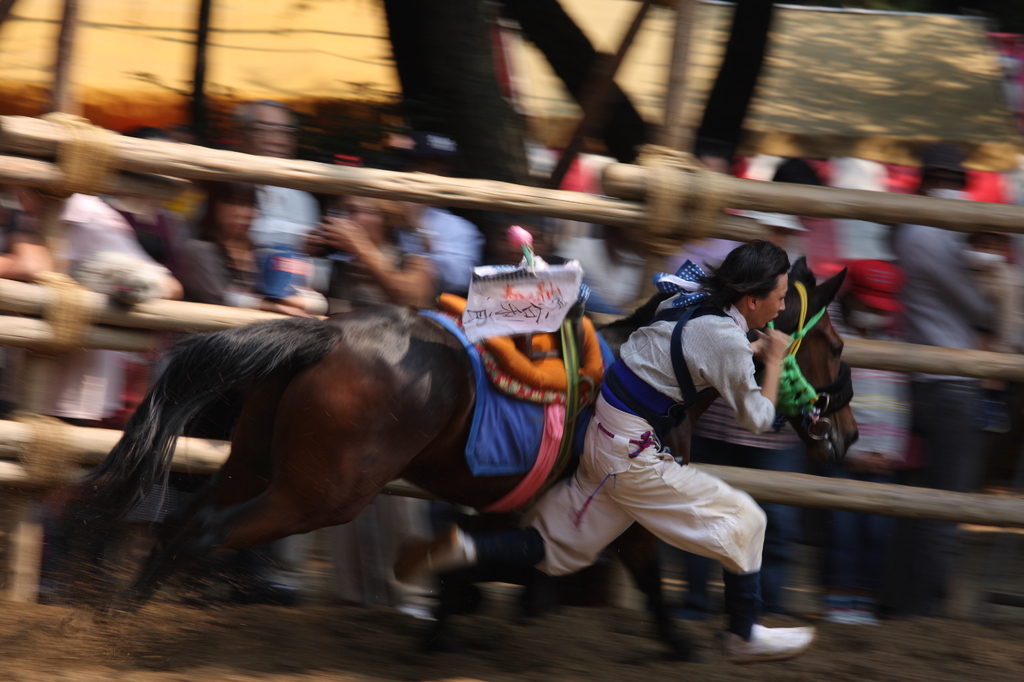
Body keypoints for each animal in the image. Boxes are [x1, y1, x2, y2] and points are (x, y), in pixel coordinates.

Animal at [70, 251, 856, 655]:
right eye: (835, 343)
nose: (846, 434)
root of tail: (325, 333)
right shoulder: (627, 501)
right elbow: (642, 565)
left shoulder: (536, 506)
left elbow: (484, 562)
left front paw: (445, 617)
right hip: (319, 493)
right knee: (202, 529)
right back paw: (120, 622)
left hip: (255, 464)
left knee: (182, 515)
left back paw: (115, 604)